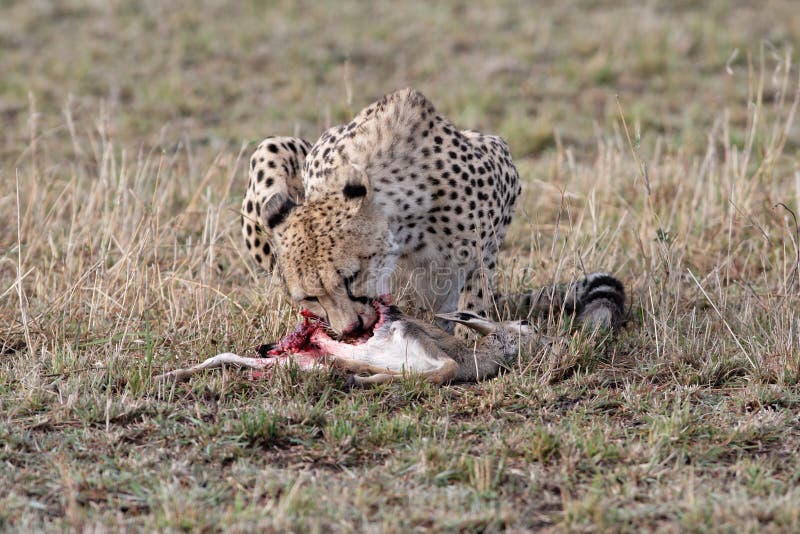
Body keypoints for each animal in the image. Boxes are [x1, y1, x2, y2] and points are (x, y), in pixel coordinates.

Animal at [242, 89, 624, 338]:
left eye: (351, 278)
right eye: (309, 296)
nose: (348, 330)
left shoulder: (502, 167)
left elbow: (477, 279)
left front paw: (473, 338)